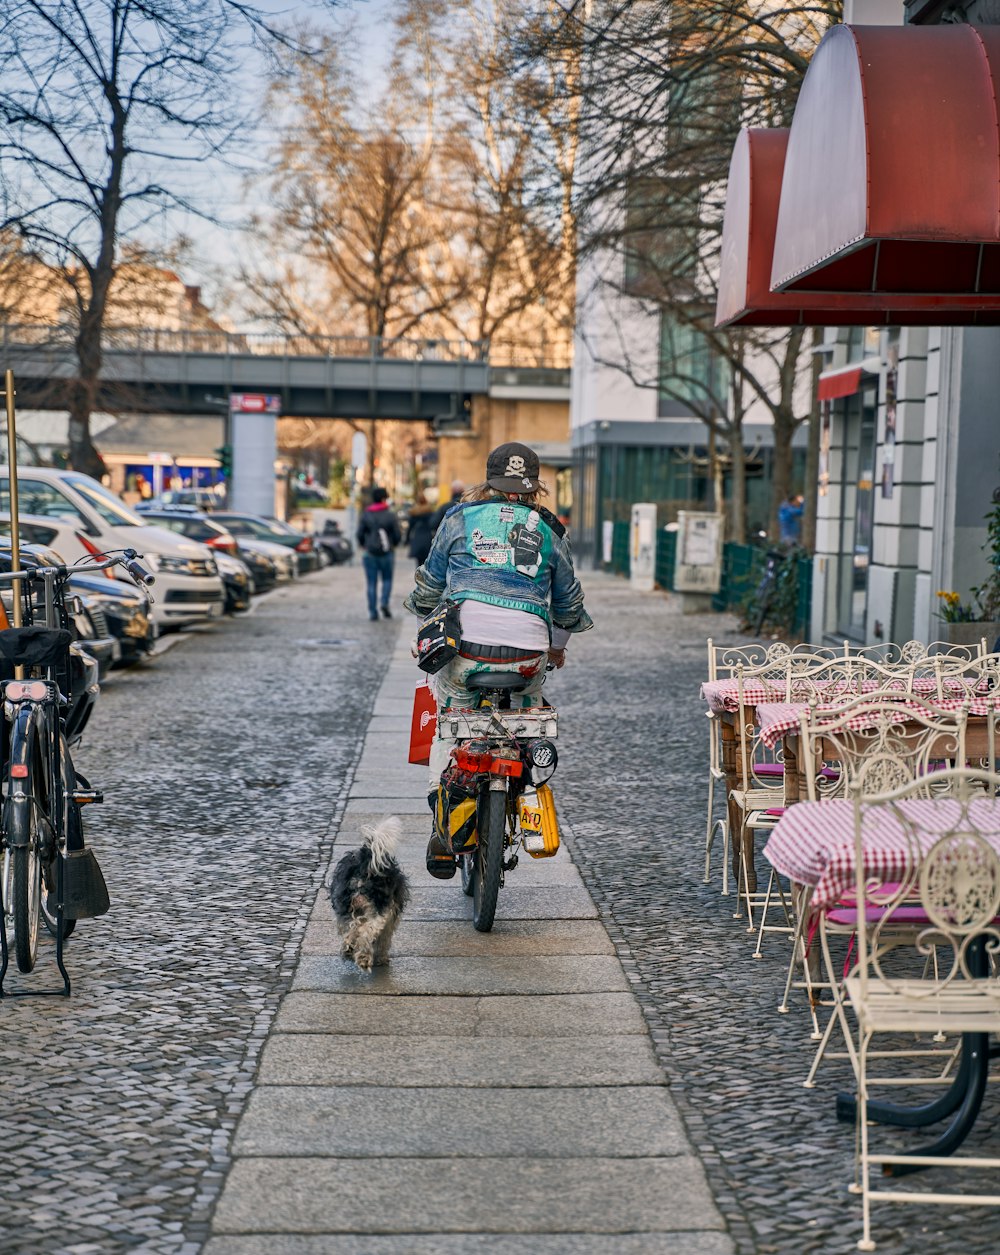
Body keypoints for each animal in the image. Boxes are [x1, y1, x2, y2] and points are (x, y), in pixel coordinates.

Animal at [328, 813, 406, 968]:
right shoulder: (389, 919)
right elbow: (382, 939)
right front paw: (381, 957)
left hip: (347, 907)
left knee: (354, 929)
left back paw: (353, 951)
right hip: (379, 909)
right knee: (365, 931)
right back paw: (363, 957)